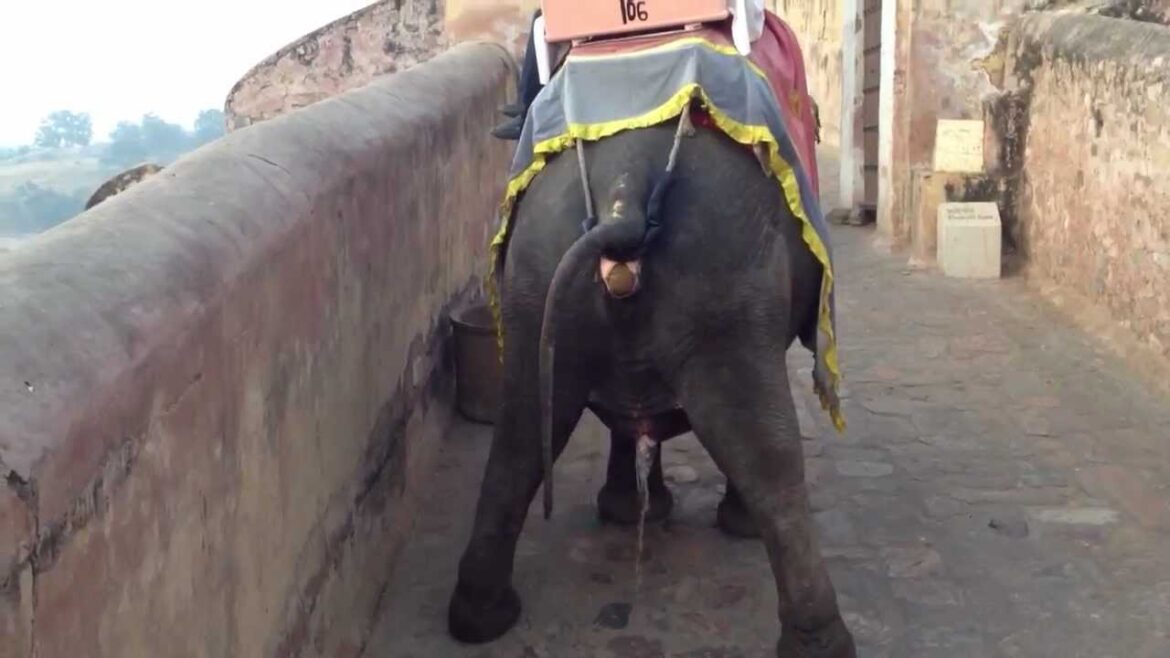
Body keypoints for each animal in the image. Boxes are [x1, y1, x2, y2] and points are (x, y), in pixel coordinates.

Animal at [448, 119, 856, 657]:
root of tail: (626, 187)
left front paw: (630, 511)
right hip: (726, 284)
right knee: (766, 452)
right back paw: (820, 639)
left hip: (534, 277)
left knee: (519, 438)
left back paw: (478, 617)